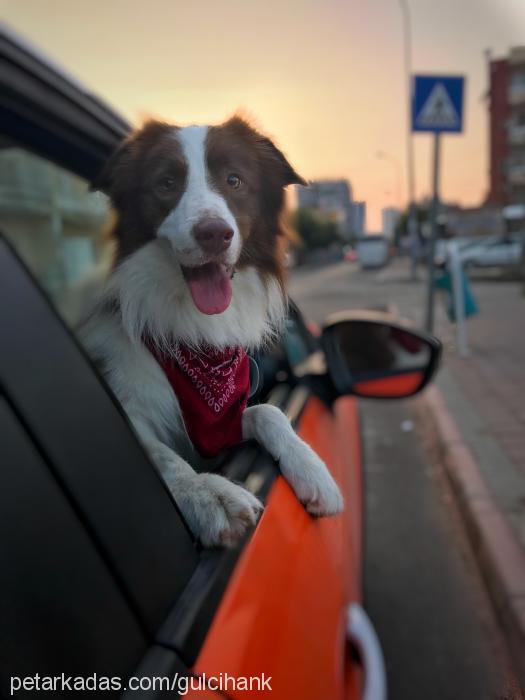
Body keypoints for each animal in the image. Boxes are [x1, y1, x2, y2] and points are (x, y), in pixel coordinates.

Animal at [81, 116, 344, 548]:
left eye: (234, 180)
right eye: (166, 182)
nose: (214, 233)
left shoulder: (219, 423)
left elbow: (268, 411)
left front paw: (312, 469)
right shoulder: (129, 402)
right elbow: (158, 454)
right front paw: (207, 492)